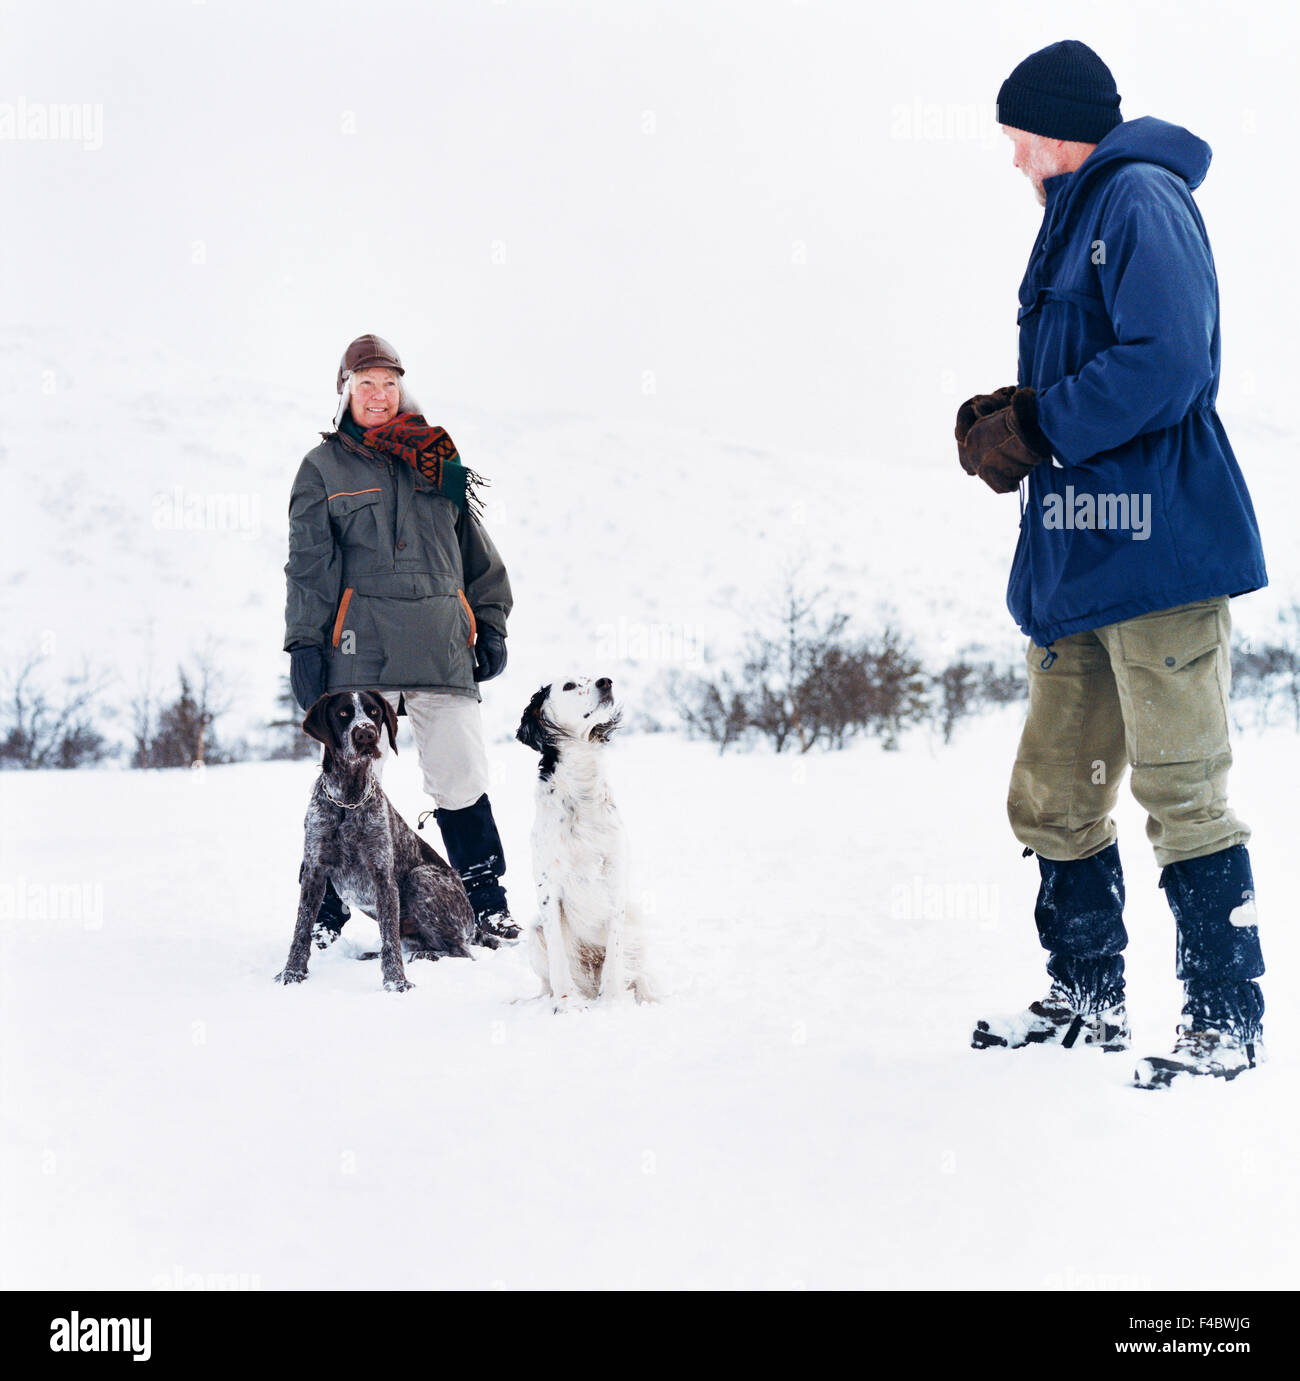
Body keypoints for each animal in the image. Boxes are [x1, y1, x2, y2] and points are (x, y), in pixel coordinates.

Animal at [276, 690, 478, 994]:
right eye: (343, 713)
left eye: (374, 712)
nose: (366, 734)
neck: (347, 799)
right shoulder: (314, 871)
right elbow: (302, 929)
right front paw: (292, 973)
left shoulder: (382, 876)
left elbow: (390, 940)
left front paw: (396, 982)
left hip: (421, 877)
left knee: (461, 951)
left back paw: (426, 955)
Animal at [511, 676, 646, 1010]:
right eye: (569, 686)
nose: (606, 681)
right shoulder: (549, 888)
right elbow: (559, 959)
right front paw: (567, 1004)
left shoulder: (614, 881)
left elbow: (615, 957)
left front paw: (611, 1002)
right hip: (534, 932)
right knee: (547, 980)